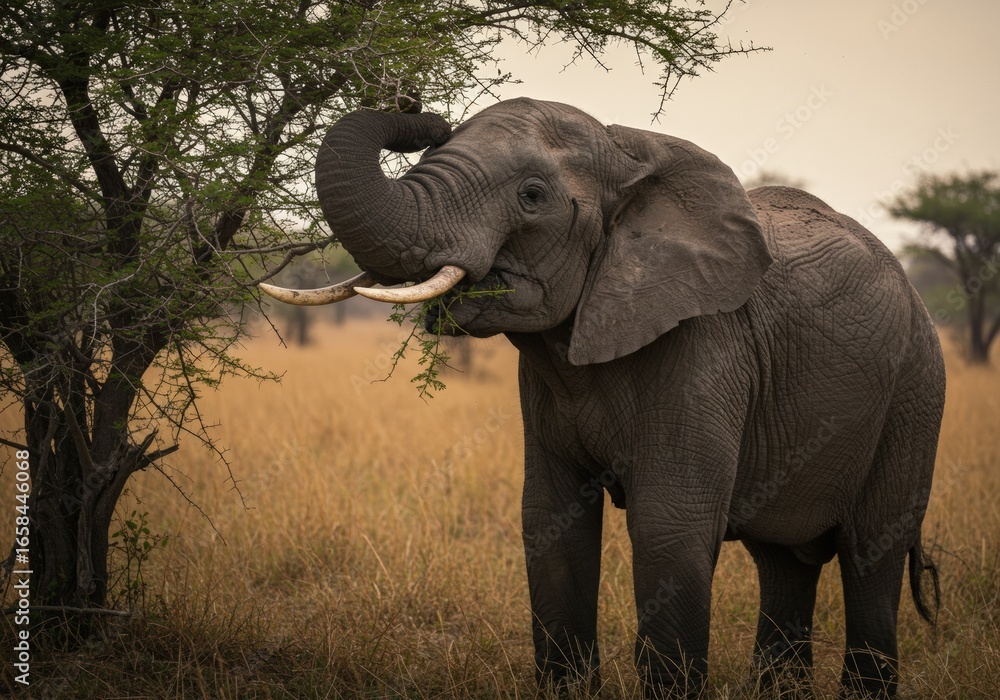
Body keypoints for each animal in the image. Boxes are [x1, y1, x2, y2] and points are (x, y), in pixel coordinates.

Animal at [260, 98, 945, 698]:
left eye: (532, 196)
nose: (415, 107)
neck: (628, 153)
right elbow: (550, 520)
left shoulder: (704, 347)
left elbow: (669, 528)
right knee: (783, 562)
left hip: (915, 393)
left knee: (871, 553)